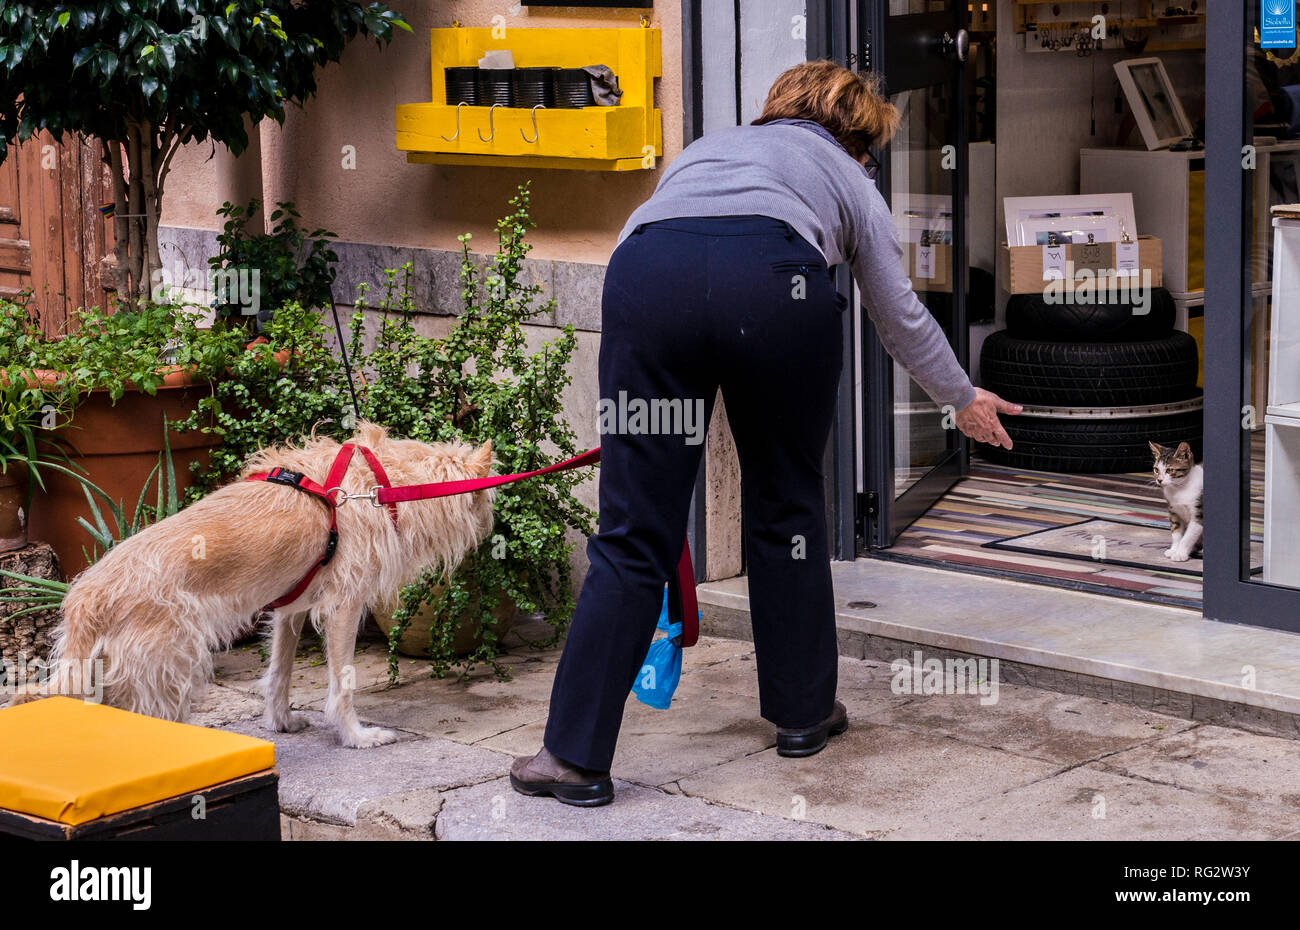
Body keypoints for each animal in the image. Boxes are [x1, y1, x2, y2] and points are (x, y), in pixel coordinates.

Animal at [29, 421, 496, 749]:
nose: (494, 529)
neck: (381, 482)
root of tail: (86, 597)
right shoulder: (343, 607)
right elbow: (342, 683)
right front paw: (355, 736)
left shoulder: (291, 608)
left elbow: (279, 672)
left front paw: (281, 721)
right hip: (169, 666)